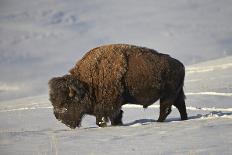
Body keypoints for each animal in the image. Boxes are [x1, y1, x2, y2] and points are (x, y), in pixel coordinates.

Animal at [48, 43, 187, 128]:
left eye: (66, 101)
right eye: (53, 100)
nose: (58, 117)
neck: (87, 83)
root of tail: (180, 65)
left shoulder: (108, 105)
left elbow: (106, 118)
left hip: (168, 95)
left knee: (165, 109)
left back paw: (159, 122)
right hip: (176, 93)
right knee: (180, 106)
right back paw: (184, 119)